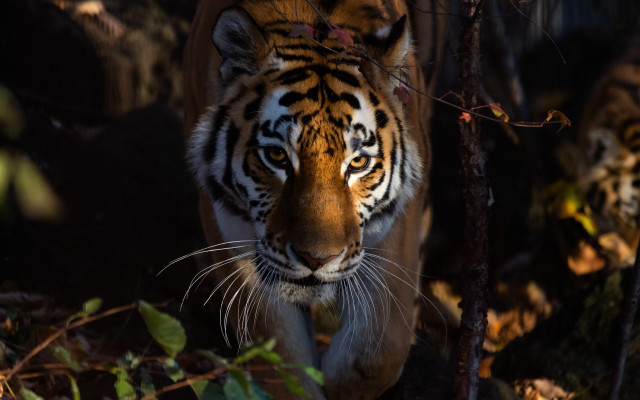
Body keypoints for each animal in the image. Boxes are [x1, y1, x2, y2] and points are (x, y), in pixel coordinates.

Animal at [182, 0, 434, 398]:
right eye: (277, 157)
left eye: (358, 162)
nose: (318, 259)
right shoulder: (229, 227)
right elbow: (280, 359)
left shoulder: (397, 226)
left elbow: (378, 354)